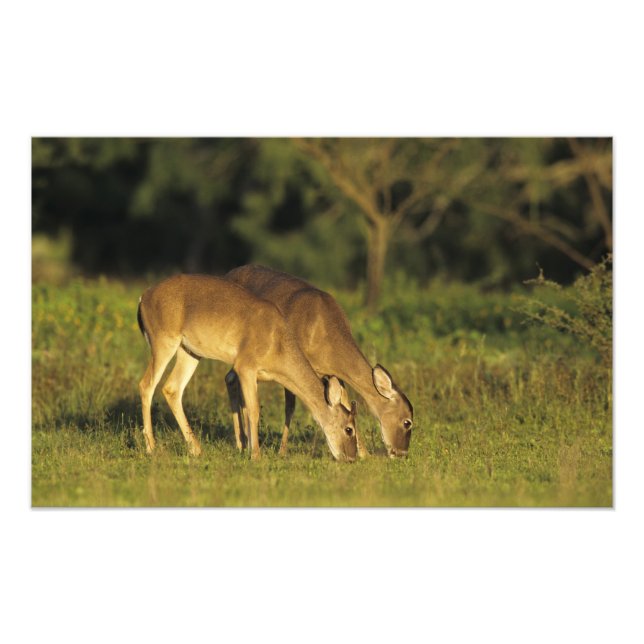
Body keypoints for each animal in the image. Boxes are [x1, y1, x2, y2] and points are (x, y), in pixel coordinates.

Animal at [136, 274, 358, 462]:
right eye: (349, 429)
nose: (351, 457)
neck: (277, 346)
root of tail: (143, 297)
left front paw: (249, 449)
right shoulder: (245, 365)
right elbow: (253, 409)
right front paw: (255, 455)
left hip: (189, 351)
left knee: (172, 388)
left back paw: (196, 449)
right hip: (163, 339)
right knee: (146, 384)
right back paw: (151, 447)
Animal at [225, 265, 414, 458]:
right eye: (407, 422)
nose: (402, 453)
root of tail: (229, 273)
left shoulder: (332, 373)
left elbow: (345, 403)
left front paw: (364, 454)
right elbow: (290, 407)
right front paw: (282, 451)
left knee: (231, 379)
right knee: (233, 380)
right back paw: (242, 443)